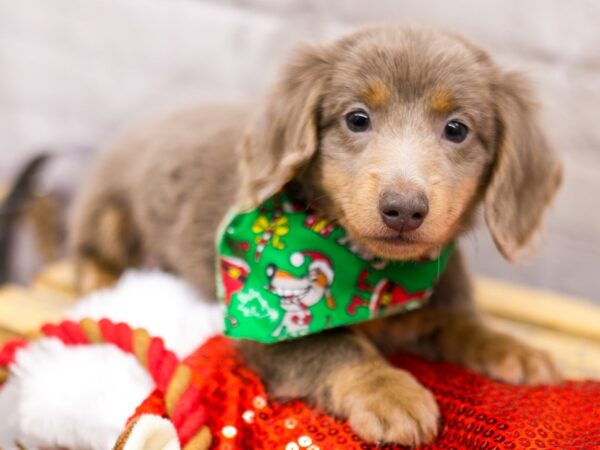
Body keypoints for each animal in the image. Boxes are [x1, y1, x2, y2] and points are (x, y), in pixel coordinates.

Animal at [70, 26, 564, 444]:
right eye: (357, 119)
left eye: (457, 129)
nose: (403, 209)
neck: (372, 271)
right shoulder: (263, 332)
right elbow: (335, 345)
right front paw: (390, 392)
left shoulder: (435, 305)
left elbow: (463, 324)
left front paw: (512, 347)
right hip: (106, 213)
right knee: (89, 251)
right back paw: (99, 279)